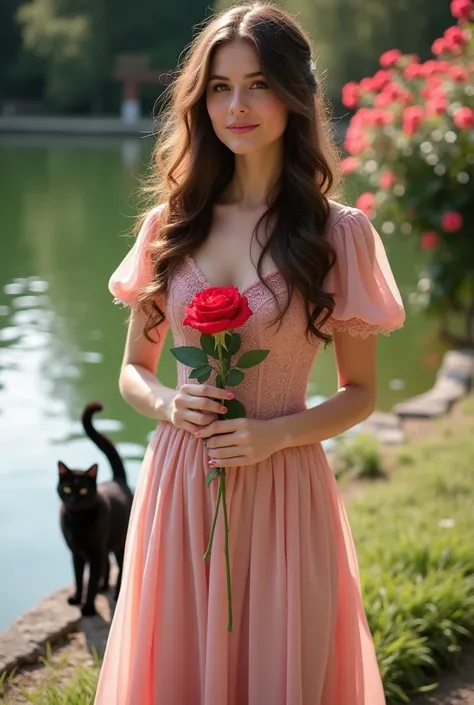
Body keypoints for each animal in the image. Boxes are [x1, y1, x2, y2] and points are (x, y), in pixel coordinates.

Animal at [58, 402, 135, 616]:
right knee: (107, 564)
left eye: (83, 490)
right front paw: (77, 598)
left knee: (120, 566)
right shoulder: (76, 552)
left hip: (119, 542)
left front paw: (88, 607)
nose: (73, 499)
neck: (77, 520)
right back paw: (104, 586)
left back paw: (116, 593)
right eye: (67, 489)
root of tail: (118, 480)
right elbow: (78, 578)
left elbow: (90, 581)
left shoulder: (94, 552)